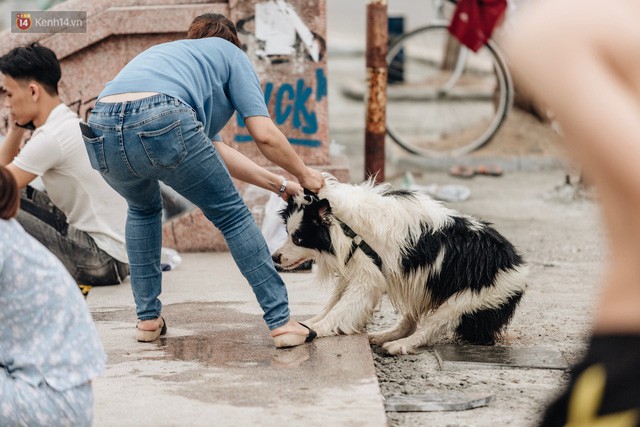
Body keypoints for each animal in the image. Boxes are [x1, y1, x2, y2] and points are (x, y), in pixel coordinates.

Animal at [272, 172, 528, 356]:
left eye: (298, 238)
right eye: (288, 232)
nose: (275, 257)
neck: (346, 226)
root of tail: (518, 265)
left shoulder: (368, 278)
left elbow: (339, 310)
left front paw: (317, 329)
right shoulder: (356, 268)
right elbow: (332, 304)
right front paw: (309, 323)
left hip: (466, 299)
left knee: (432, 327)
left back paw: (400, 345)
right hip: (420, 285)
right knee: (410, 322)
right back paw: (384, 336)